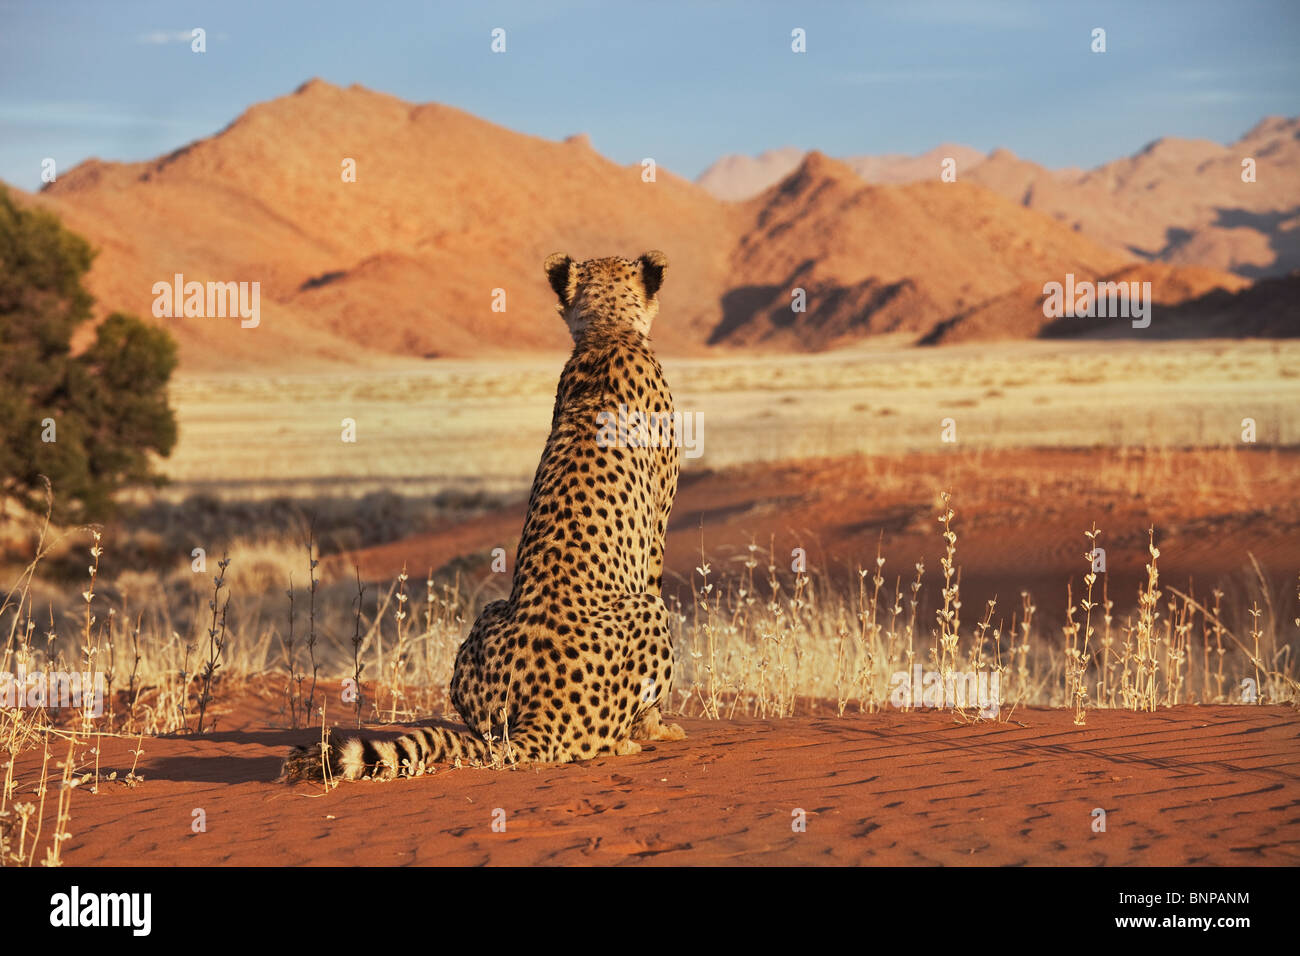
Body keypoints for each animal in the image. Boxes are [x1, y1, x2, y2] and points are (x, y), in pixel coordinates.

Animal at [281, 250, 685, 782]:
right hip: (648, 610)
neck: (606, 334)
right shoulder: (658, 527)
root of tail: (540, 715)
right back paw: (628, 741)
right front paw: (661, 727)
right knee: (598, 739)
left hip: (489, 617)